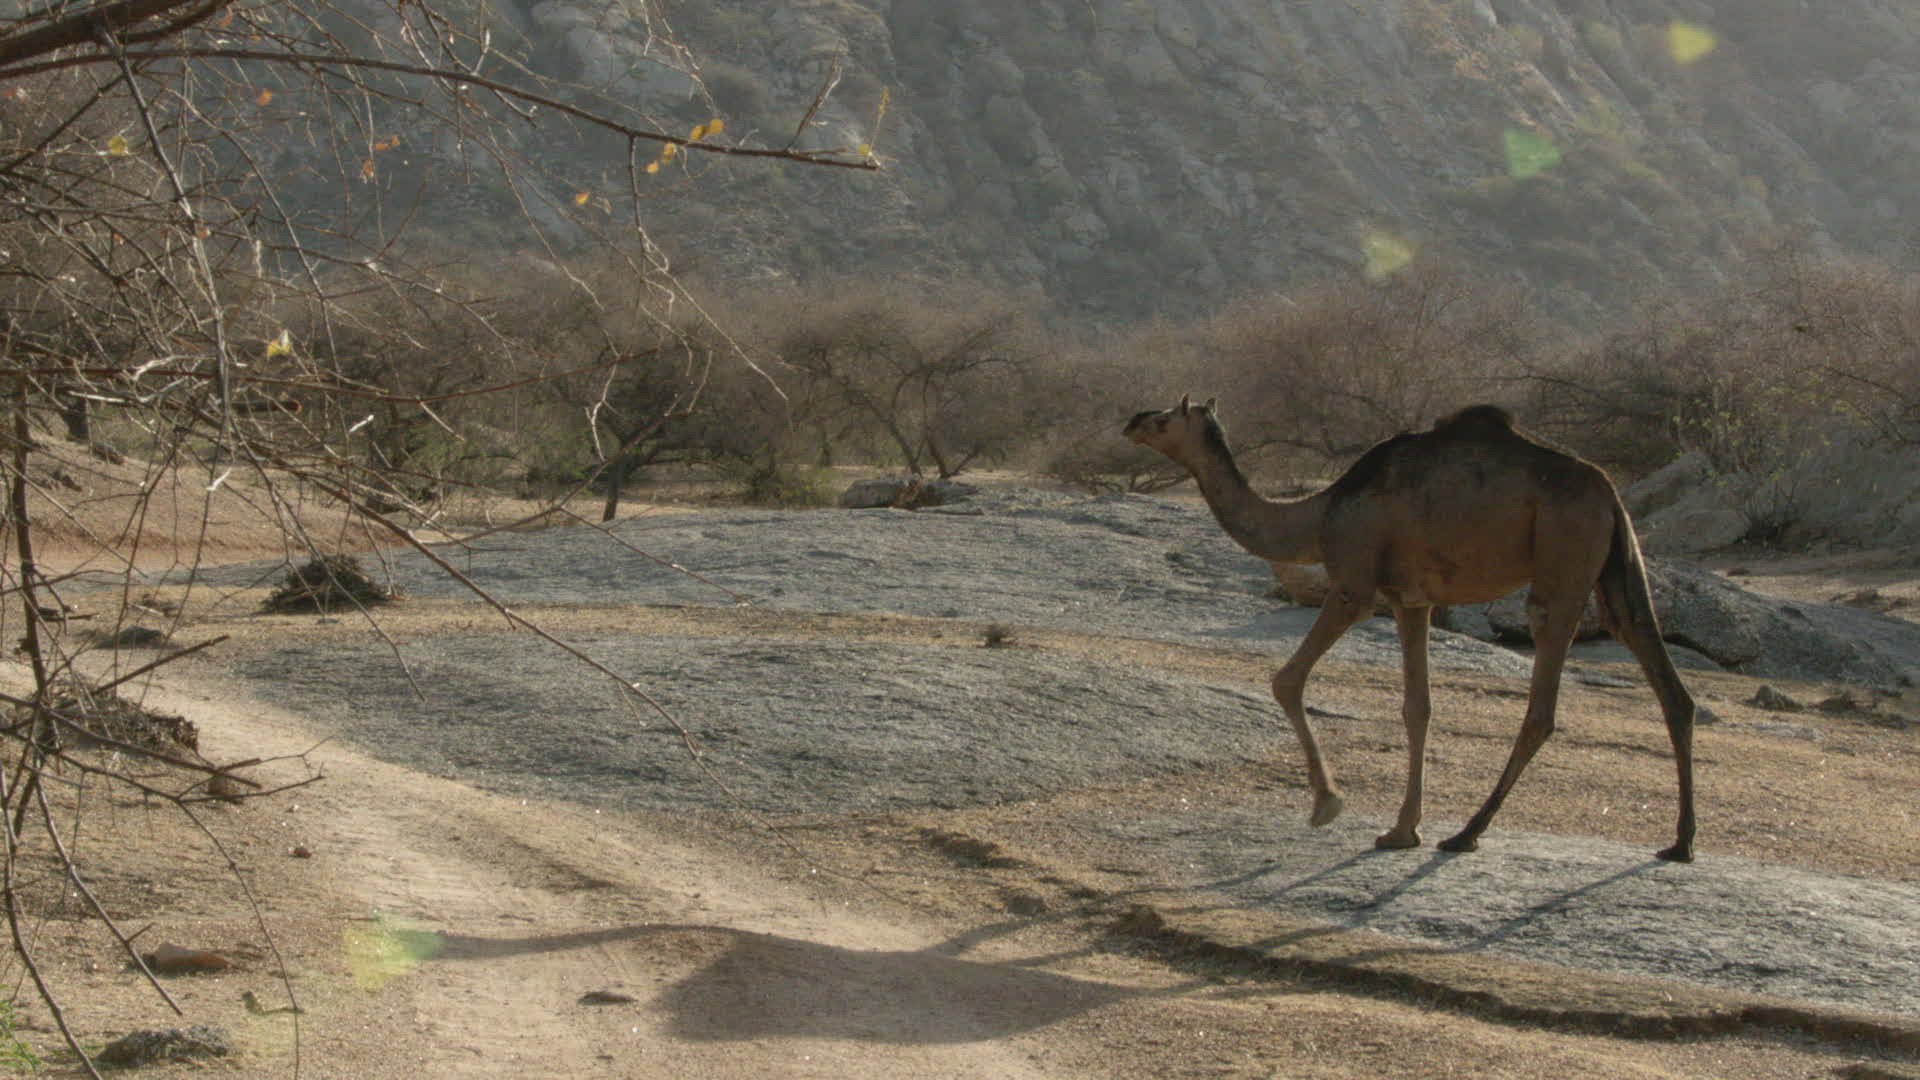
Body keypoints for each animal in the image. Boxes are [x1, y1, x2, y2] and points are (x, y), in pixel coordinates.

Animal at [1124, 395, 1696, 860]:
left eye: (1165, 418)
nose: (1131, 420)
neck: (1319, 515)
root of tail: (1610, 492)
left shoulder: (1353, 583)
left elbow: (1286, 680)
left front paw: (1328, 804)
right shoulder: (1411, 601)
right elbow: (1417, 707)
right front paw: (1402, 830)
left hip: (1563, 551)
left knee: (1542, 700)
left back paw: (1467, 832)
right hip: (1616, 562)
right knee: (1658, 667)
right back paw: (1680, 842)